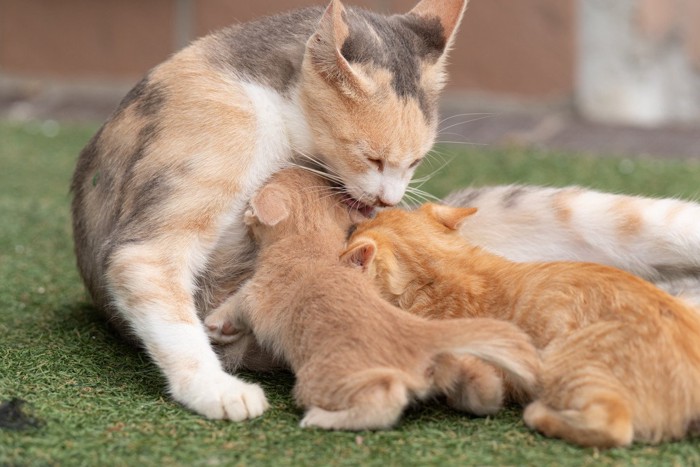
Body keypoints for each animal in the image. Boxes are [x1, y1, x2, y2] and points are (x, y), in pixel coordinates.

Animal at [69, 0, 470, 422]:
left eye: (415, 162)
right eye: (372, 158)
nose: (388, 201)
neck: (270, 100)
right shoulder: (227, 127)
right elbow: (146, 266)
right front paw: (215, 388)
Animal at [200, 169, 540, 432]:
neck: (310, 241)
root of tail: (420, 335)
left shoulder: (257, 292)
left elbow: (238, 302)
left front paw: (216, 323)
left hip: (317, 381)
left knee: (385, 401)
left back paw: (321, 419)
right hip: (458, 362)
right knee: (484, 382)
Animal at [346, 205, 700, 450]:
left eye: (352, 230)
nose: (351, 222)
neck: (445, 271)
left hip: (564, 363)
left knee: (614, 425)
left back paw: (540, 415)